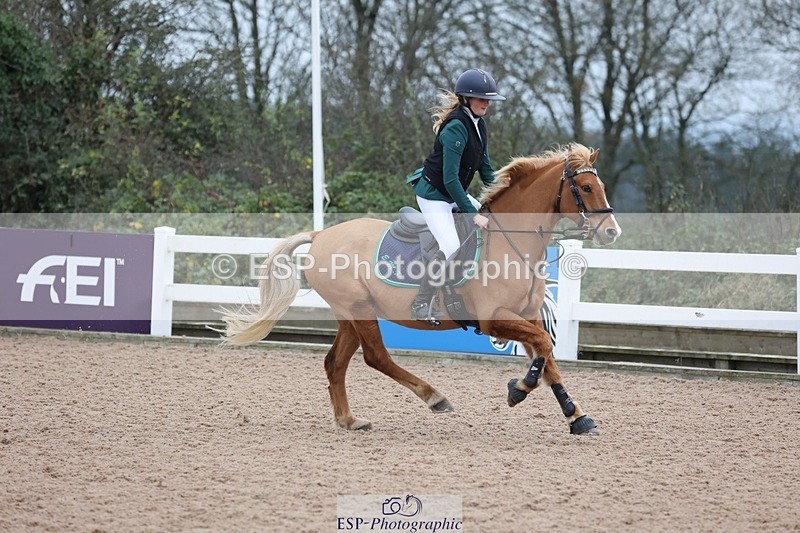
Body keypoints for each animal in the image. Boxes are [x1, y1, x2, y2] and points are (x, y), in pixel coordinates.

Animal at [219, 143, 621, 435]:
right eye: (586, 188)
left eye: (601, 187)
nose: (611, 232)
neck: (511, 241)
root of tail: (320, 235)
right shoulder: (494, 320)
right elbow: (544, 348)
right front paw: (519, 388)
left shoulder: (527, 315)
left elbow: (547, 355)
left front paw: (575, 415)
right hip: (360, 311)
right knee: (376, 357)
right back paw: (434, 397)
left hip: (350, 315)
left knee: (335, 363)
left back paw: (349, 420)